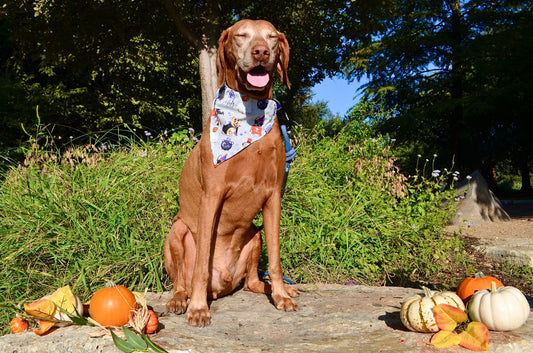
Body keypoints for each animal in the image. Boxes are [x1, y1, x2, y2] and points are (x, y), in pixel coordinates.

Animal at [163, 20, 296, 328]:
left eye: (271, 37)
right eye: (241, 35)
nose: (261, 52)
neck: (250, 116)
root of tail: (221, 285)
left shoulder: (273, 198)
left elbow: (276, 259)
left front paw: (281, 296)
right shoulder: (212, 196)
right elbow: (200, 266)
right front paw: (198, 309)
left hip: (254, 233)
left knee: (251, 282)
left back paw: (273, 288)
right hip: (176, 230)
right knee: (182, 281)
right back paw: (181, 300)